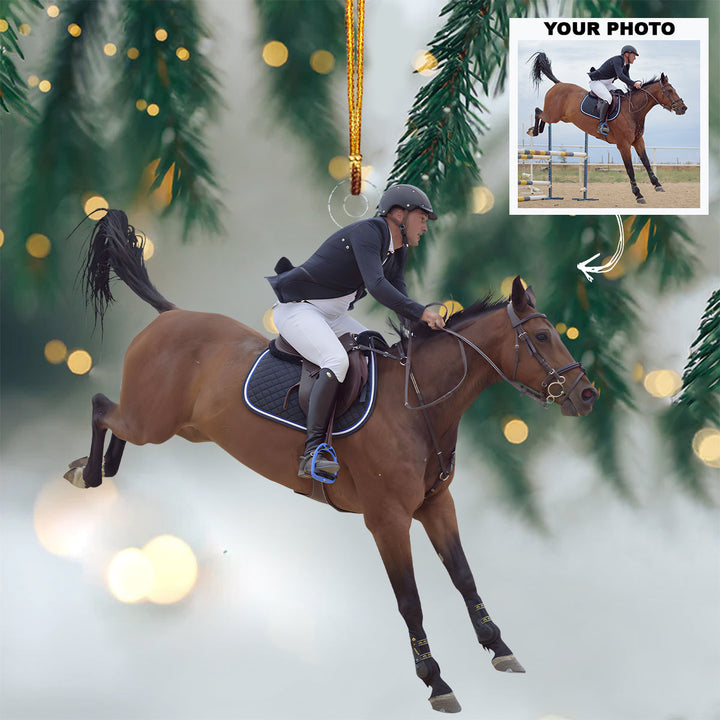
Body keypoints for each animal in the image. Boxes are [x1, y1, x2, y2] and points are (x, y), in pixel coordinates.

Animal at [65, 210, 599, 713]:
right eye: (543, 336)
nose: (587, 395)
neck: (419, 405)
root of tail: (171, 315)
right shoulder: (387, 520)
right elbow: (410, 602)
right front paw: (436, 683)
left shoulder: (435, 505)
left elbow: (464, 576)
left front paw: (500, 648)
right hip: (152, 422)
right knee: (100, 405)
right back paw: (88, 473)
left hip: (181, 428)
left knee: (116, 421)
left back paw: (106, 467)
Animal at [527, 51, 687, 204]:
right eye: (670, 90)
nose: (683, 108)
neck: (633, 111)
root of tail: (558, 84)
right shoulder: (623, 145)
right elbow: (630, 169)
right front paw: (638, 195)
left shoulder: (638, 141)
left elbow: (646, 162)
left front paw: (657, 185)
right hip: (553, 115)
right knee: (538, 111)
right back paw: (533, 131)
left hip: (562, 118)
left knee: (541, 115)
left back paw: (538, 130)